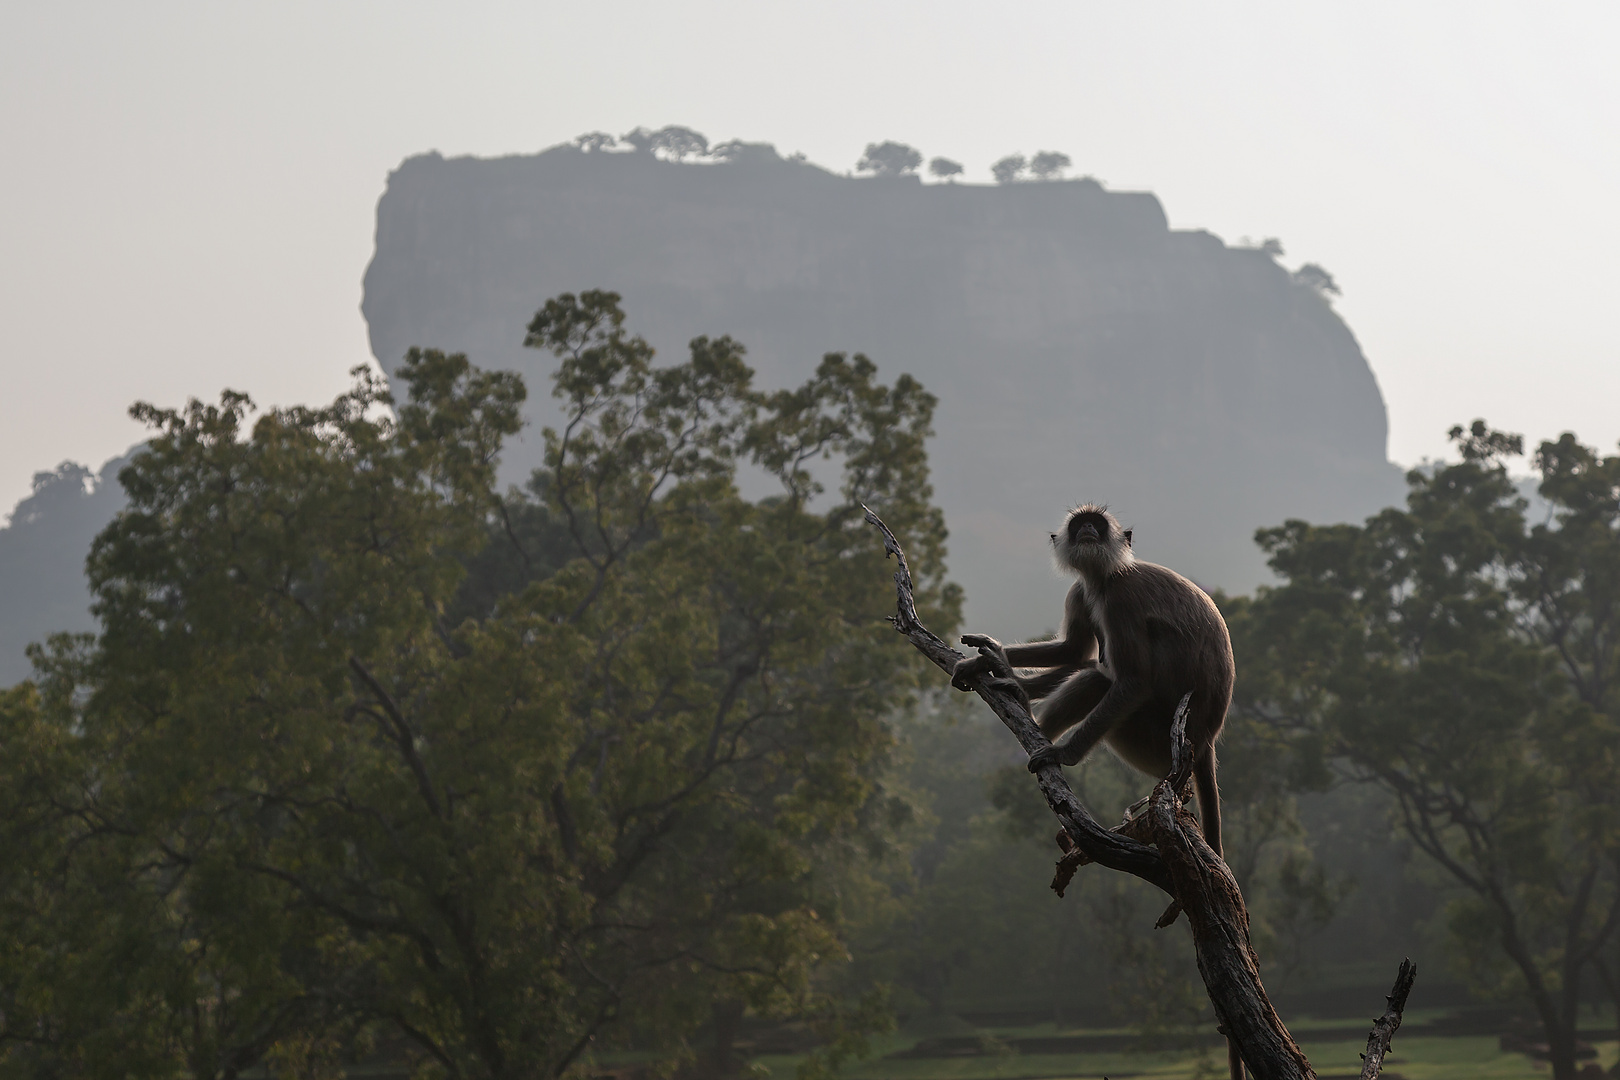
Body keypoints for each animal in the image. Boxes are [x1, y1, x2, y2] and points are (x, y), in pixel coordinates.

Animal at [946, 508, 1224, 861]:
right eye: (1080, 524)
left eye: (1098, 524)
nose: (1089, 527)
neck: (1104, 578)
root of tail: (1206, 740)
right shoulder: (1080, 590)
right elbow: (1074, 651)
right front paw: (984, 663)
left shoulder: (1121, 598)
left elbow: (1133, 682)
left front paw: (1063, 754)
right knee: (1094, 673)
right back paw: (1020, 698)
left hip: (1153, 745)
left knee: (1100, 681)